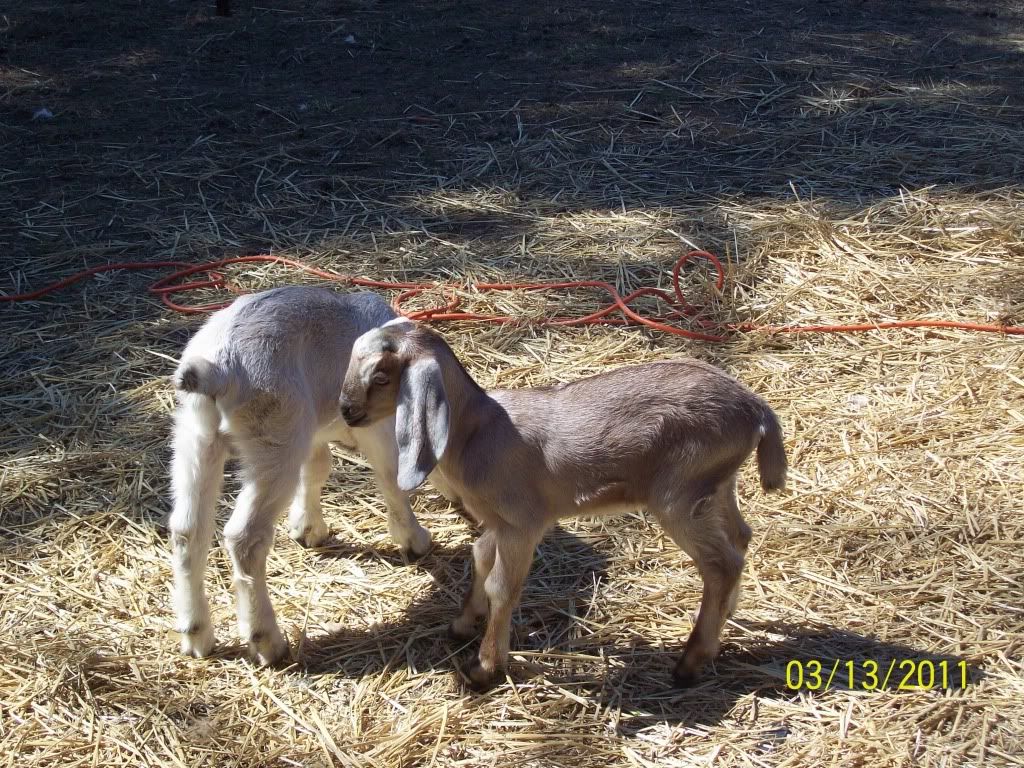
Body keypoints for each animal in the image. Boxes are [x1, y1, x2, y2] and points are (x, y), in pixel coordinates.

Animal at [169, 287, 438, 666]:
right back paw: (267, 640)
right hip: (276, 437)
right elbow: (391, 476)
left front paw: (307, 528)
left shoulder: (315, 433)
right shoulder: (377, 427)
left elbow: (316, 468)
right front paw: (414, 540)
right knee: (244, 538)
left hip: (196, 436)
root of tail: (217, 367)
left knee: (188, 528)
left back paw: (197, 635)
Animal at [339, 318, 787, 688]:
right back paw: (727, 616)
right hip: (715, 485)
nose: (346, 411)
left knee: (721, 563)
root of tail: (758, 411)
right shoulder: (499, 522)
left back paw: (691, 662)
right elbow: (480, 556)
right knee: (740, 538)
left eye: (381, 376)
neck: (477, 432)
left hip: (680, 495)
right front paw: (464, 623)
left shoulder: (523, 521)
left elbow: (502, 585)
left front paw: (485, 667)